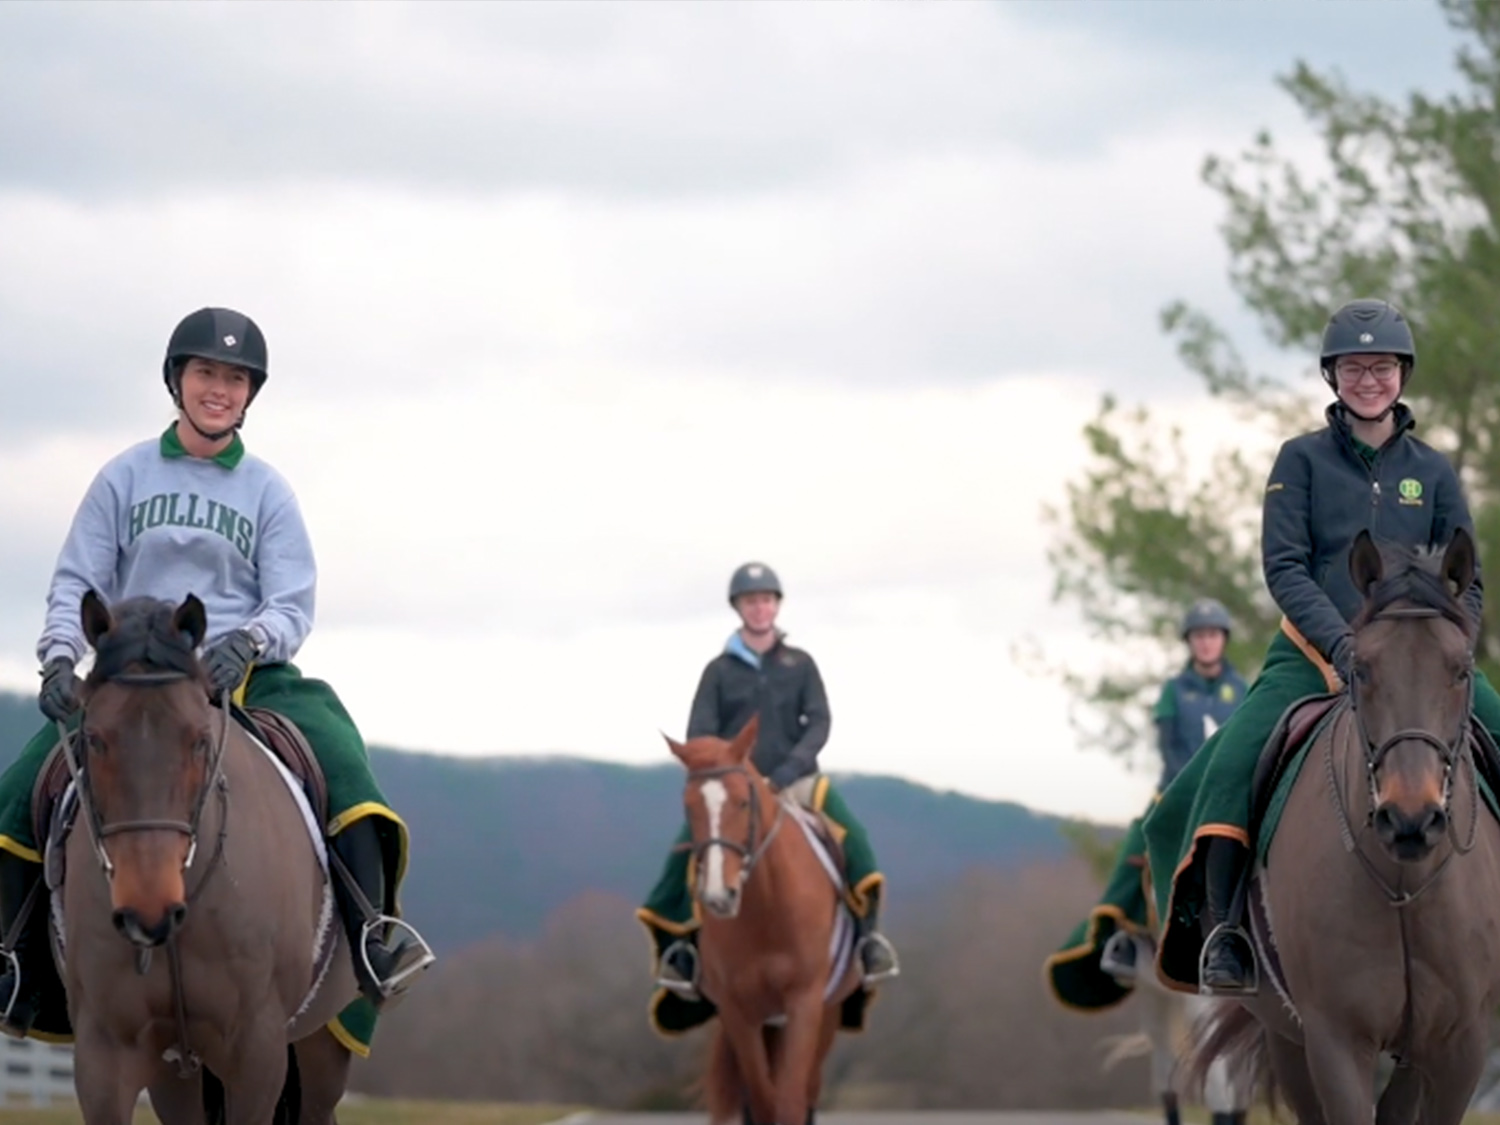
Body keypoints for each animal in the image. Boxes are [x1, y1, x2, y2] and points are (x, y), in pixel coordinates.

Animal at [59, 594, 366, 1122]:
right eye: (94, 738)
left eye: (199, 739)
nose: (148, 912)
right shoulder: (106, 1053)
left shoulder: (257, 1052)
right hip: (175, 1071)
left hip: (325, 1043)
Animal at [666, 714, 864, 1125]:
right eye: (688, 807)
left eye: (743, 802)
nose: (718, 896)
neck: (767, 911)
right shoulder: (738, 1011)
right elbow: (761, 1103)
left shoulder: (805, 1003)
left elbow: (789, 1104)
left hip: (826, 1013)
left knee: (808, 1092)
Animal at [1188, 531, 1500, 1125]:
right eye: (1363, 669)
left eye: (1460, 669)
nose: (1410, 819)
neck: (1404, 886)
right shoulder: (1335, 1042)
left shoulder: (1461, 1046)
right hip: (1288, 1040)